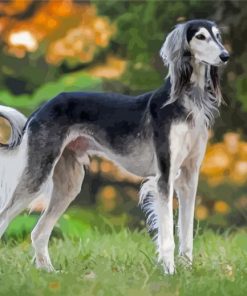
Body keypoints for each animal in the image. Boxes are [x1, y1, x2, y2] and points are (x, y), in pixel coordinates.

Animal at [0, 19, 230, 274]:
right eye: (200, 36)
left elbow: (187, 232)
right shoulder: (165, 176)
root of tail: (42, 108)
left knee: (38, 232)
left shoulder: (189, 177)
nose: (225, 55)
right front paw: (169, 271)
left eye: (218, 36)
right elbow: (168, 234)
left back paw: (49, 272)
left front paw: (187, 272)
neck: (186, 101)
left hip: (69, 183)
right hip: (38, 174)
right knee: (6, 217)